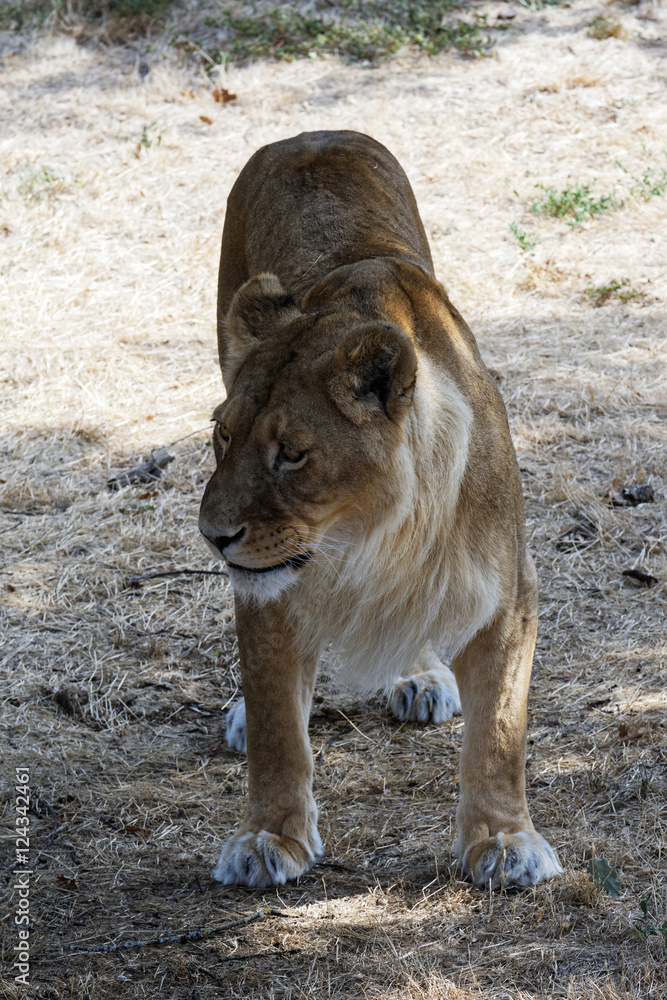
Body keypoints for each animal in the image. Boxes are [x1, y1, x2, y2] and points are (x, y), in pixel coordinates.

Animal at [199, 130, 562, 889]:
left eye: (291, 454)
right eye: (222, 438)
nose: (213, 536)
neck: (366, 534)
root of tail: (309, 135)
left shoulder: (509, 593)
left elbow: (499, 733)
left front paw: (504, 841)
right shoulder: (270, 589)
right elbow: (277, 727)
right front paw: (268, 837)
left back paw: (420, 676)